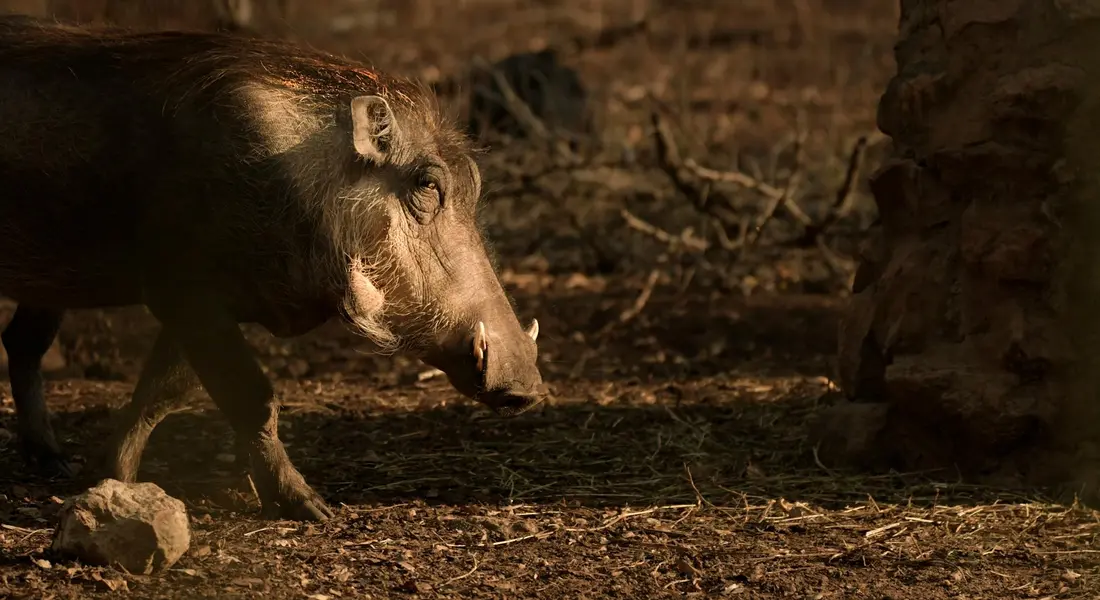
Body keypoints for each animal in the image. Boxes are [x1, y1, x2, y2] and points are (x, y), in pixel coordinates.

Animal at [0, 16, 547, 521]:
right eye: (428, 185)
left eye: (475, 186)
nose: (526, 387)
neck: (298, 178)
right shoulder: (184, 295)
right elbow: (252, 398)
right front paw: (306, 506)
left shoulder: (200, 306)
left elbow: (159, 396)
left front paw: (113, 482)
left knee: (22, 344)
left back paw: (51, 461)